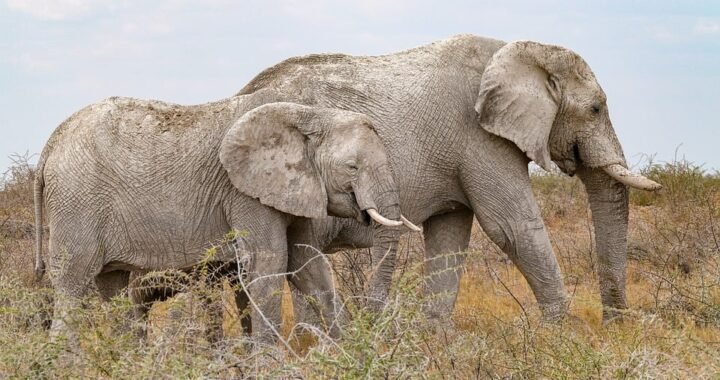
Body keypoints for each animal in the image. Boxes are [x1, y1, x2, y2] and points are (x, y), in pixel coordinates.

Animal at [33, 89, 416, 344]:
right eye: (352, 167)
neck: (310, 113)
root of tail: (51, 143)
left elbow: (308, 264)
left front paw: (347, 354)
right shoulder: (244, 192)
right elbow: (269, 262)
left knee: (111, 286)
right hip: (76, 201)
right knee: (73, 283)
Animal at [239, 35, 660, 322]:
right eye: (595, 109)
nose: (614, 323)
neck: (521, 51)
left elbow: (450, 236)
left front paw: (437, 340)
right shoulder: (479, 138)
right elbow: (512, 227)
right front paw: (561, 332)